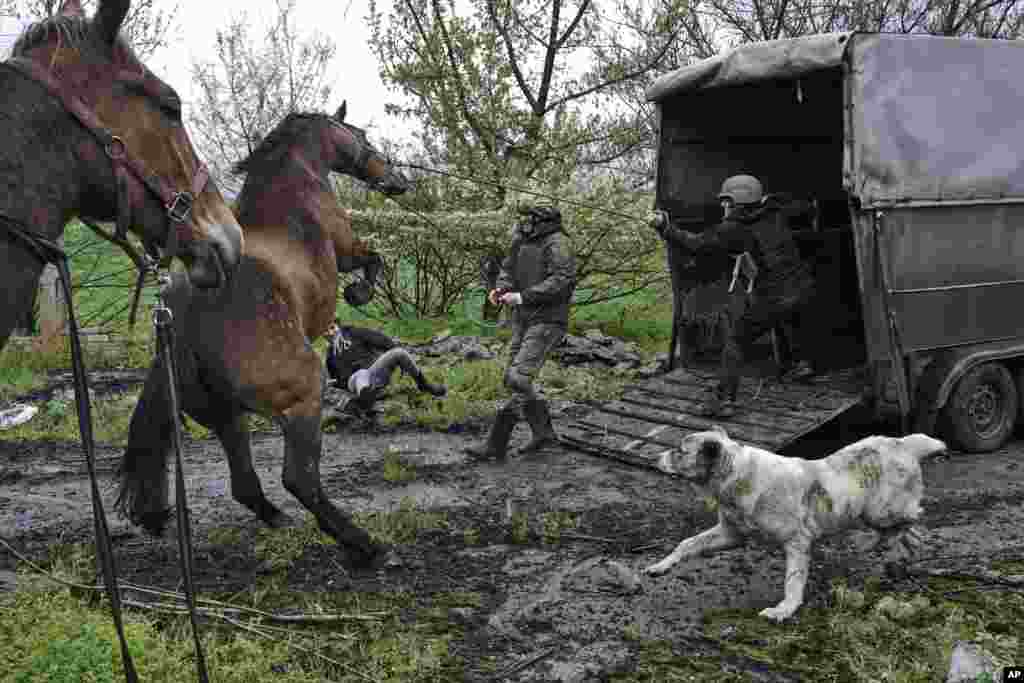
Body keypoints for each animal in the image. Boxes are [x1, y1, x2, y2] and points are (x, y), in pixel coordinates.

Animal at [117, 102, 407, 565]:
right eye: (361, 134)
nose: (397, 181)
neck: (294, 185)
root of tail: (182, 323)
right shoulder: (347, 249)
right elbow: (372, 260)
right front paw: (358, 293)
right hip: (301, 396)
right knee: (299, 478)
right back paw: (364, 544)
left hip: (226, 416)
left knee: (244, 483)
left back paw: (280, 520)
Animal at [643, 430, 946, 622]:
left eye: (679, 451)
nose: (651, 458)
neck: (738, 476)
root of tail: (904, 444)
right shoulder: (730, 534)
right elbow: (687, 543)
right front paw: (661, 566)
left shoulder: (797, 542)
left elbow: (793, 581)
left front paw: (783, 611)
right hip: (872, 514)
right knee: (903, 534)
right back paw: (890, 553)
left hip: (881, 511)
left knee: (913, 520)